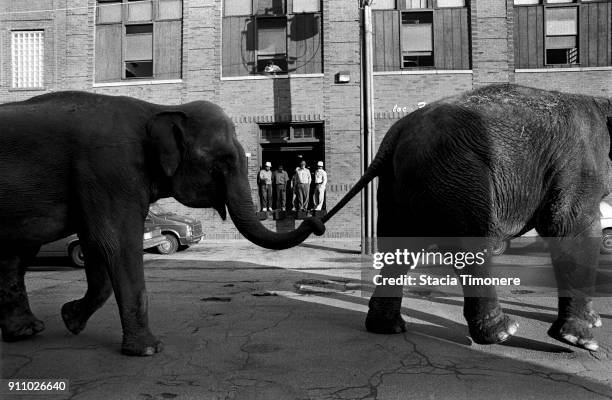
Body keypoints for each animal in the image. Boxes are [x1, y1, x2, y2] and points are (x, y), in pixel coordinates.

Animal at [0, 91, 326, 356]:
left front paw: (70, 318)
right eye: (221, 161)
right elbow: (115, 242)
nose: (315, 221)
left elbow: (96, 246)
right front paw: (148, 349)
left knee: (17, 256)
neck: (157, 110)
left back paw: (26, 331)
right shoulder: (109, 170)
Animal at [322, 83, 608, 350]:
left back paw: (387, 327)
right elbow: (570, 228)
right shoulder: (578, 165)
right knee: (472, 242)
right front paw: (581, 340)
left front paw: (593, 322)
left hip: (404, 184)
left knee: (401, 245)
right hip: (455, 175)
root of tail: (395, 133)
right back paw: (503, 332)